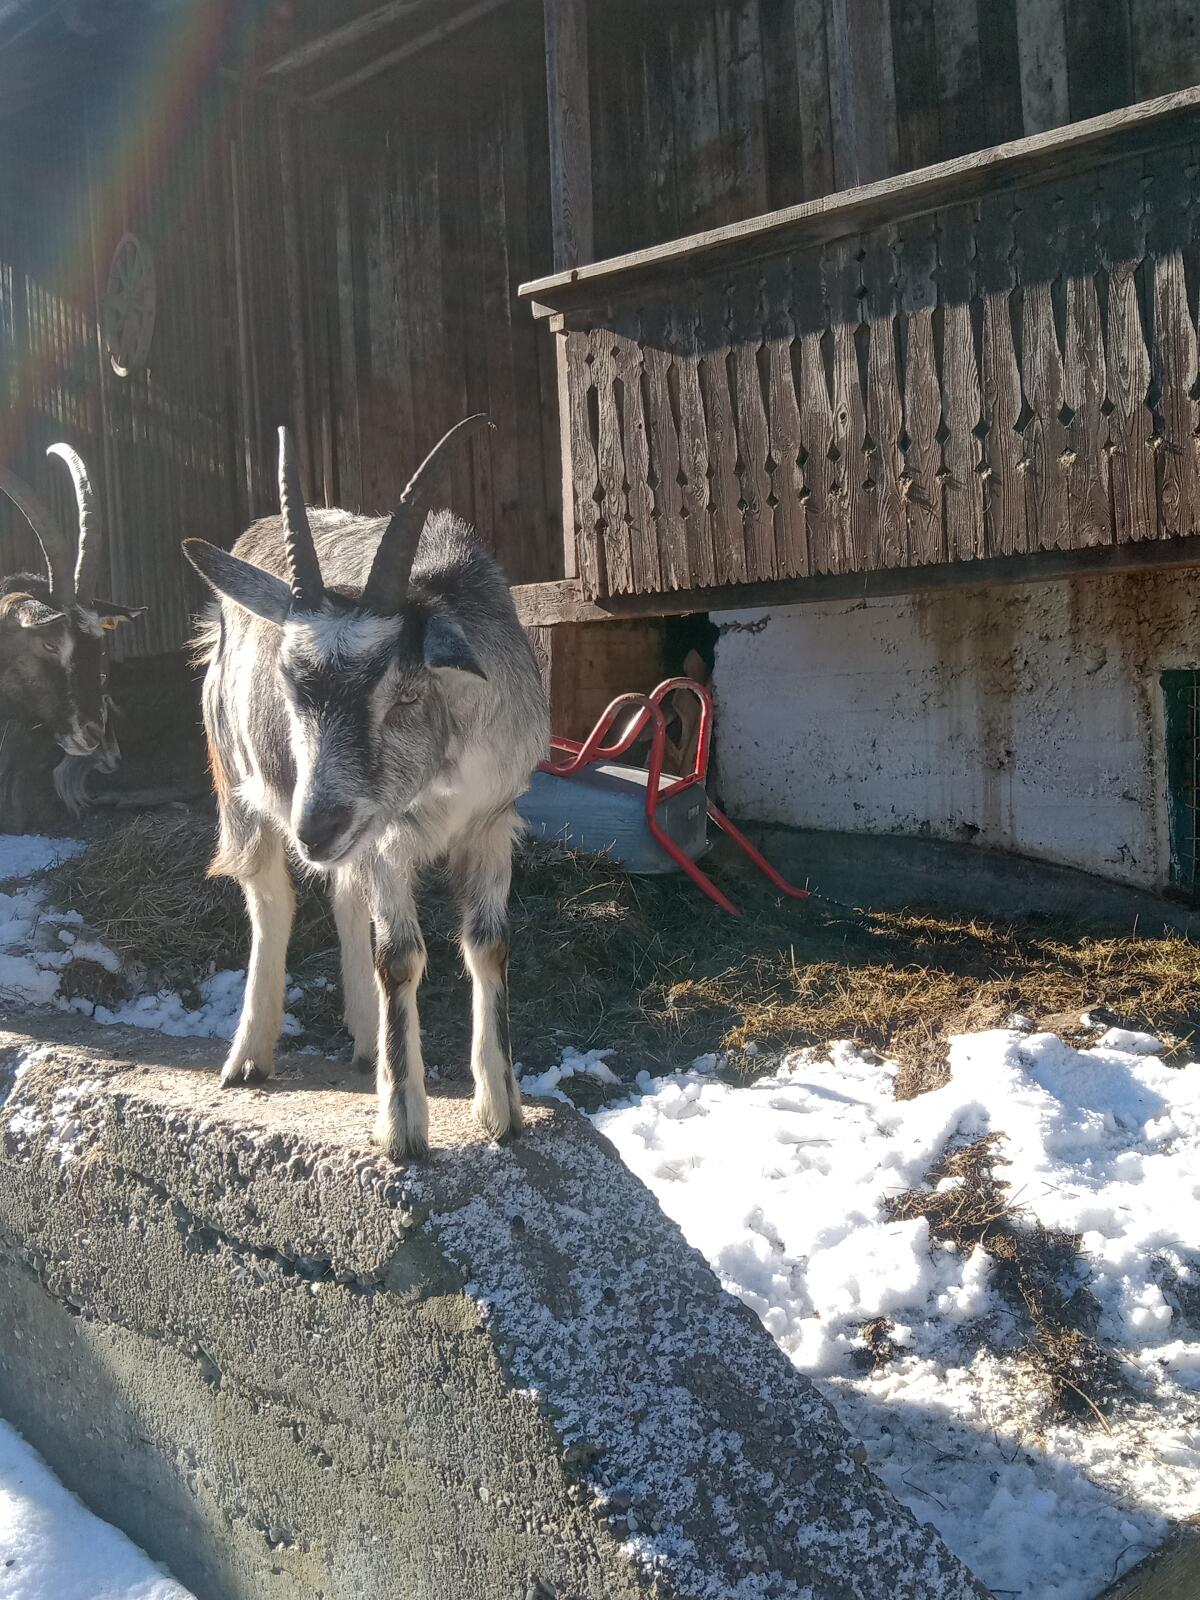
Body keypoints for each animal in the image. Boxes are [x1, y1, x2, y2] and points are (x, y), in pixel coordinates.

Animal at [184, 418, 549, 1160]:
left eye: (402, 692)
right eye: (290, 686)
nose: (315, 827)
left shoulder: (493, 820)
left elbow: (488, 943)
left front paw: (502, 1109)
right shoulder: (385, 834)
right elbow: (401, 957)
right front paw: (403, 1126)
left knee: (344, 893)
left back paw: (362, 1038)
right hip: (240, 783)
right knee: (271, 899)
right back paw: (249, 1057)